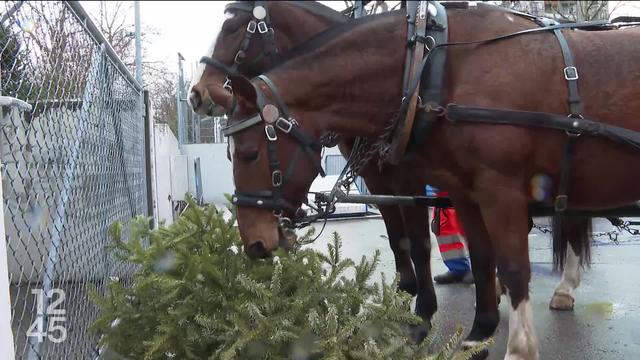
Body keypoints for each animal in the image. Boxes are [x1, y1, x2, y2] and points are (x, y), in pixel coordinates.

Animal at [219, 5, 640, 360]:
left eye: (249, 154)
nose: (254, 244)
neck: (431, 69)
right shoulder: (465, 192)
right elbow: (481, 259)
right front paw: (477, 334)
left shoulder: (493, 190)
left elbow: (508, 266)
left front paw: (513, 347)